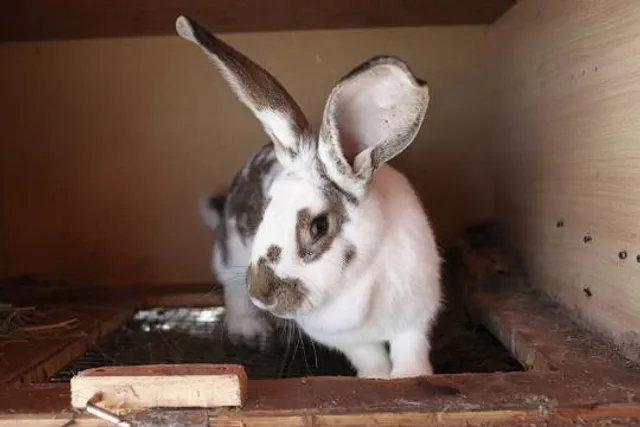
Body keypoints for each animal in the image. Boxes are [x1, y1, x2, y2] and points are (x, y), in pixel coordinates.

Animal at [178, 15, 443, 379]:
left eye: (319, 226)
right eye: (265, 211)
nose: (262, 293)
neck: (357, 284)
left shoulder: (415, 318)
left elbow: (410, 351)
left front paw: (409, 377)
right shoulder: (347, 340)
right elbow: (370, 358)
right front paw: (376, 379)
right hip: (228, 254)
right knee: (232, 293)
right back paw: (250, 331)